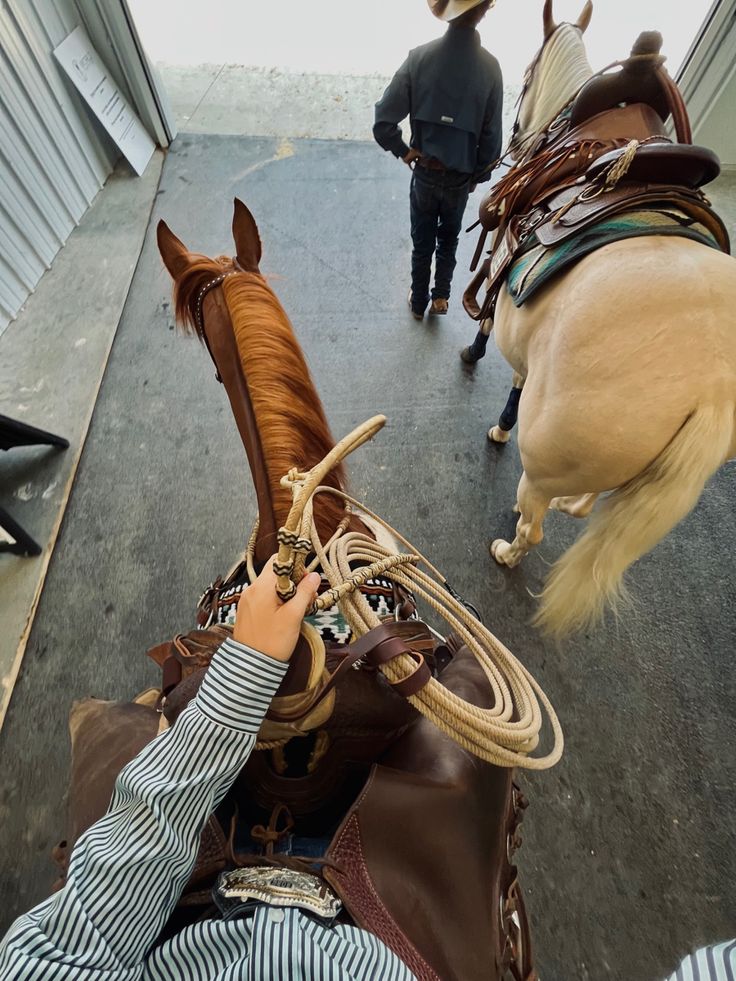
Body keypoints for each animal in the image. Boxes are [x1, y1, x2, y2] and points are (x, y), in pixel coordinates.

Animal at [472, 0, 736, 640]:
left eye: (524, 76)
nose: (513, 134)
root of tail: (713, 388)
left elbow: (504, 360)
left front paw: (499, 422)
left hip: (543, 463)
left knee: (534, 522)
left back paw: (509, 549)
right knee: (592, 497)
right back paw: (574, 503)